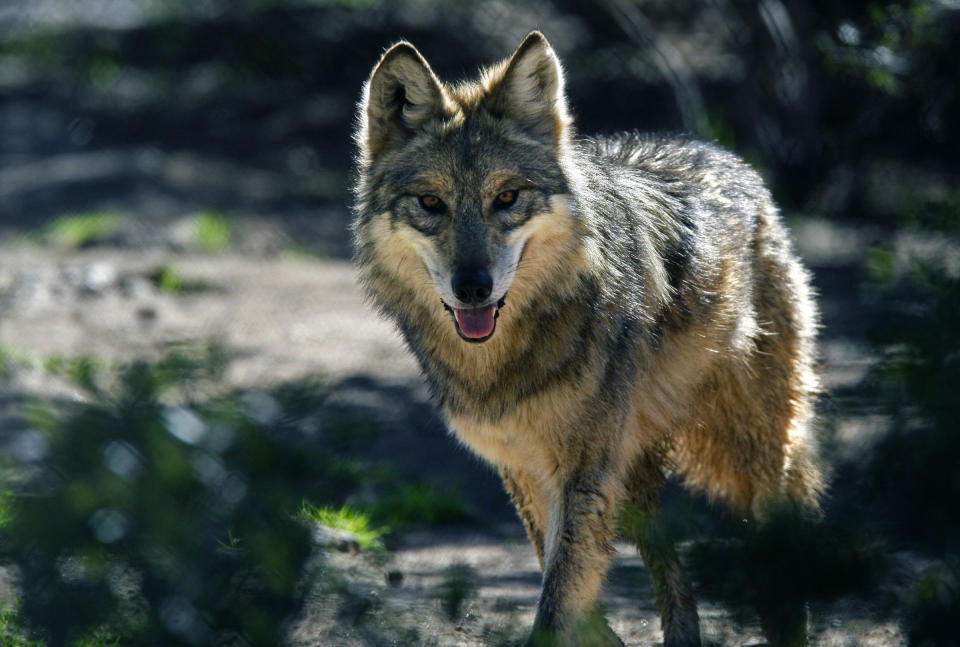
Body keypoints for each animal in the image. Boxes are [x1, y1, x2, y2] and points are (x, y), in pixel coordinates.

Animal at [352, 30, 824, 647]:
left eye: (507, 198)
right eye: (431, 204)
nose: (473, 287)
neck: (503, 363)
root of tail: (729, 157)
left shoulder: (582, 474)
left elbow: (557, 600)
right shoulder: (524, 468)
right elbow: (565, 582)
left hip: (747, 447)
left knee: (779, 533)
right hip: (636, 471)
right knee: (673, 572)